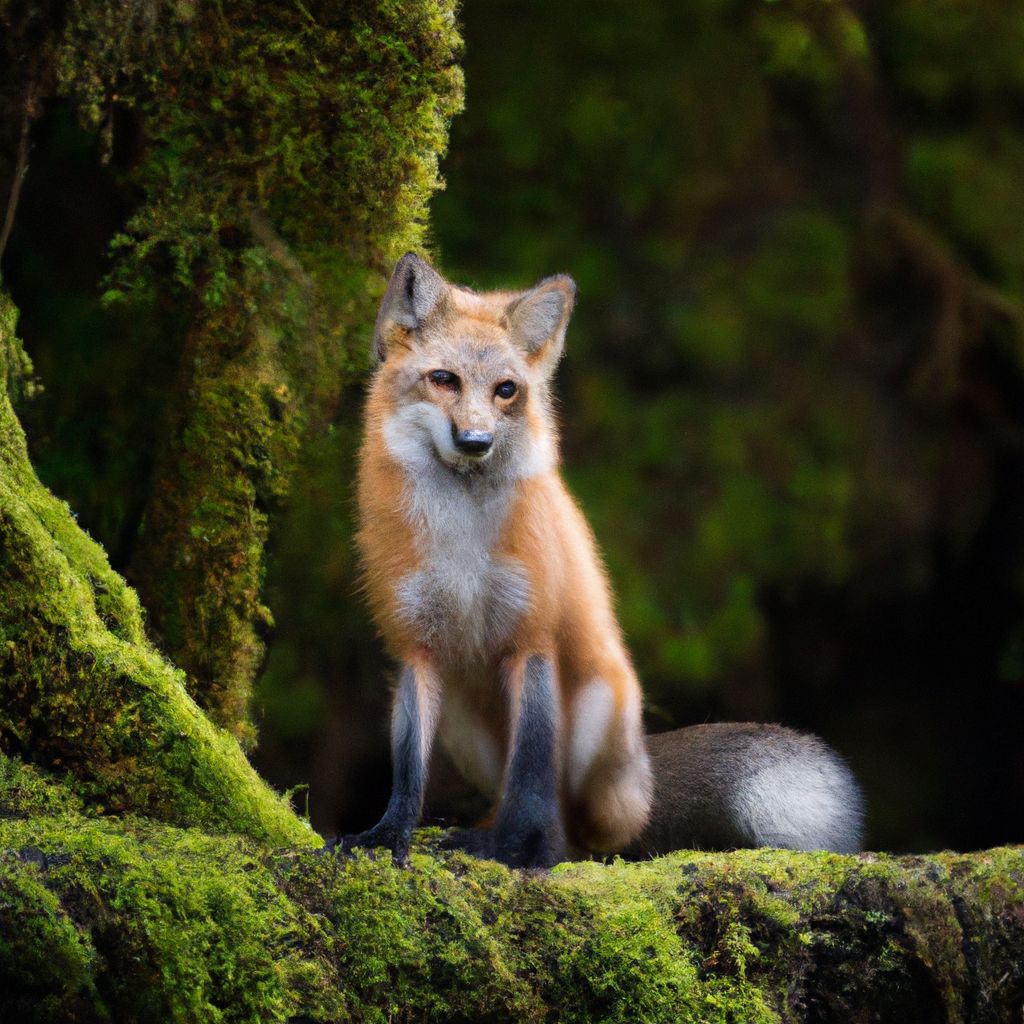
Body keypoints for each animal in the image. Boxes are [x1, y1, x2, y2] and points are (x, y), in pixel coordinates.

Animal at [329, 251, 864, 868]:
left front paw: (514, 849)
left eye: (506, 390)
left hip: (596, 711)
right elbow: (408, 769)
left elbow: (532, 768)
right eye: (444, 380)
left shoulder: (534, 636)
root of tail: (642, 777)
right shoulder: (416, 648)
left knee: (580, 830)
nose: (476, 441)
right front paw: (388, 835)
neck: (462, 541)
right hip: (463, 717)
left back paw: (541, 845)